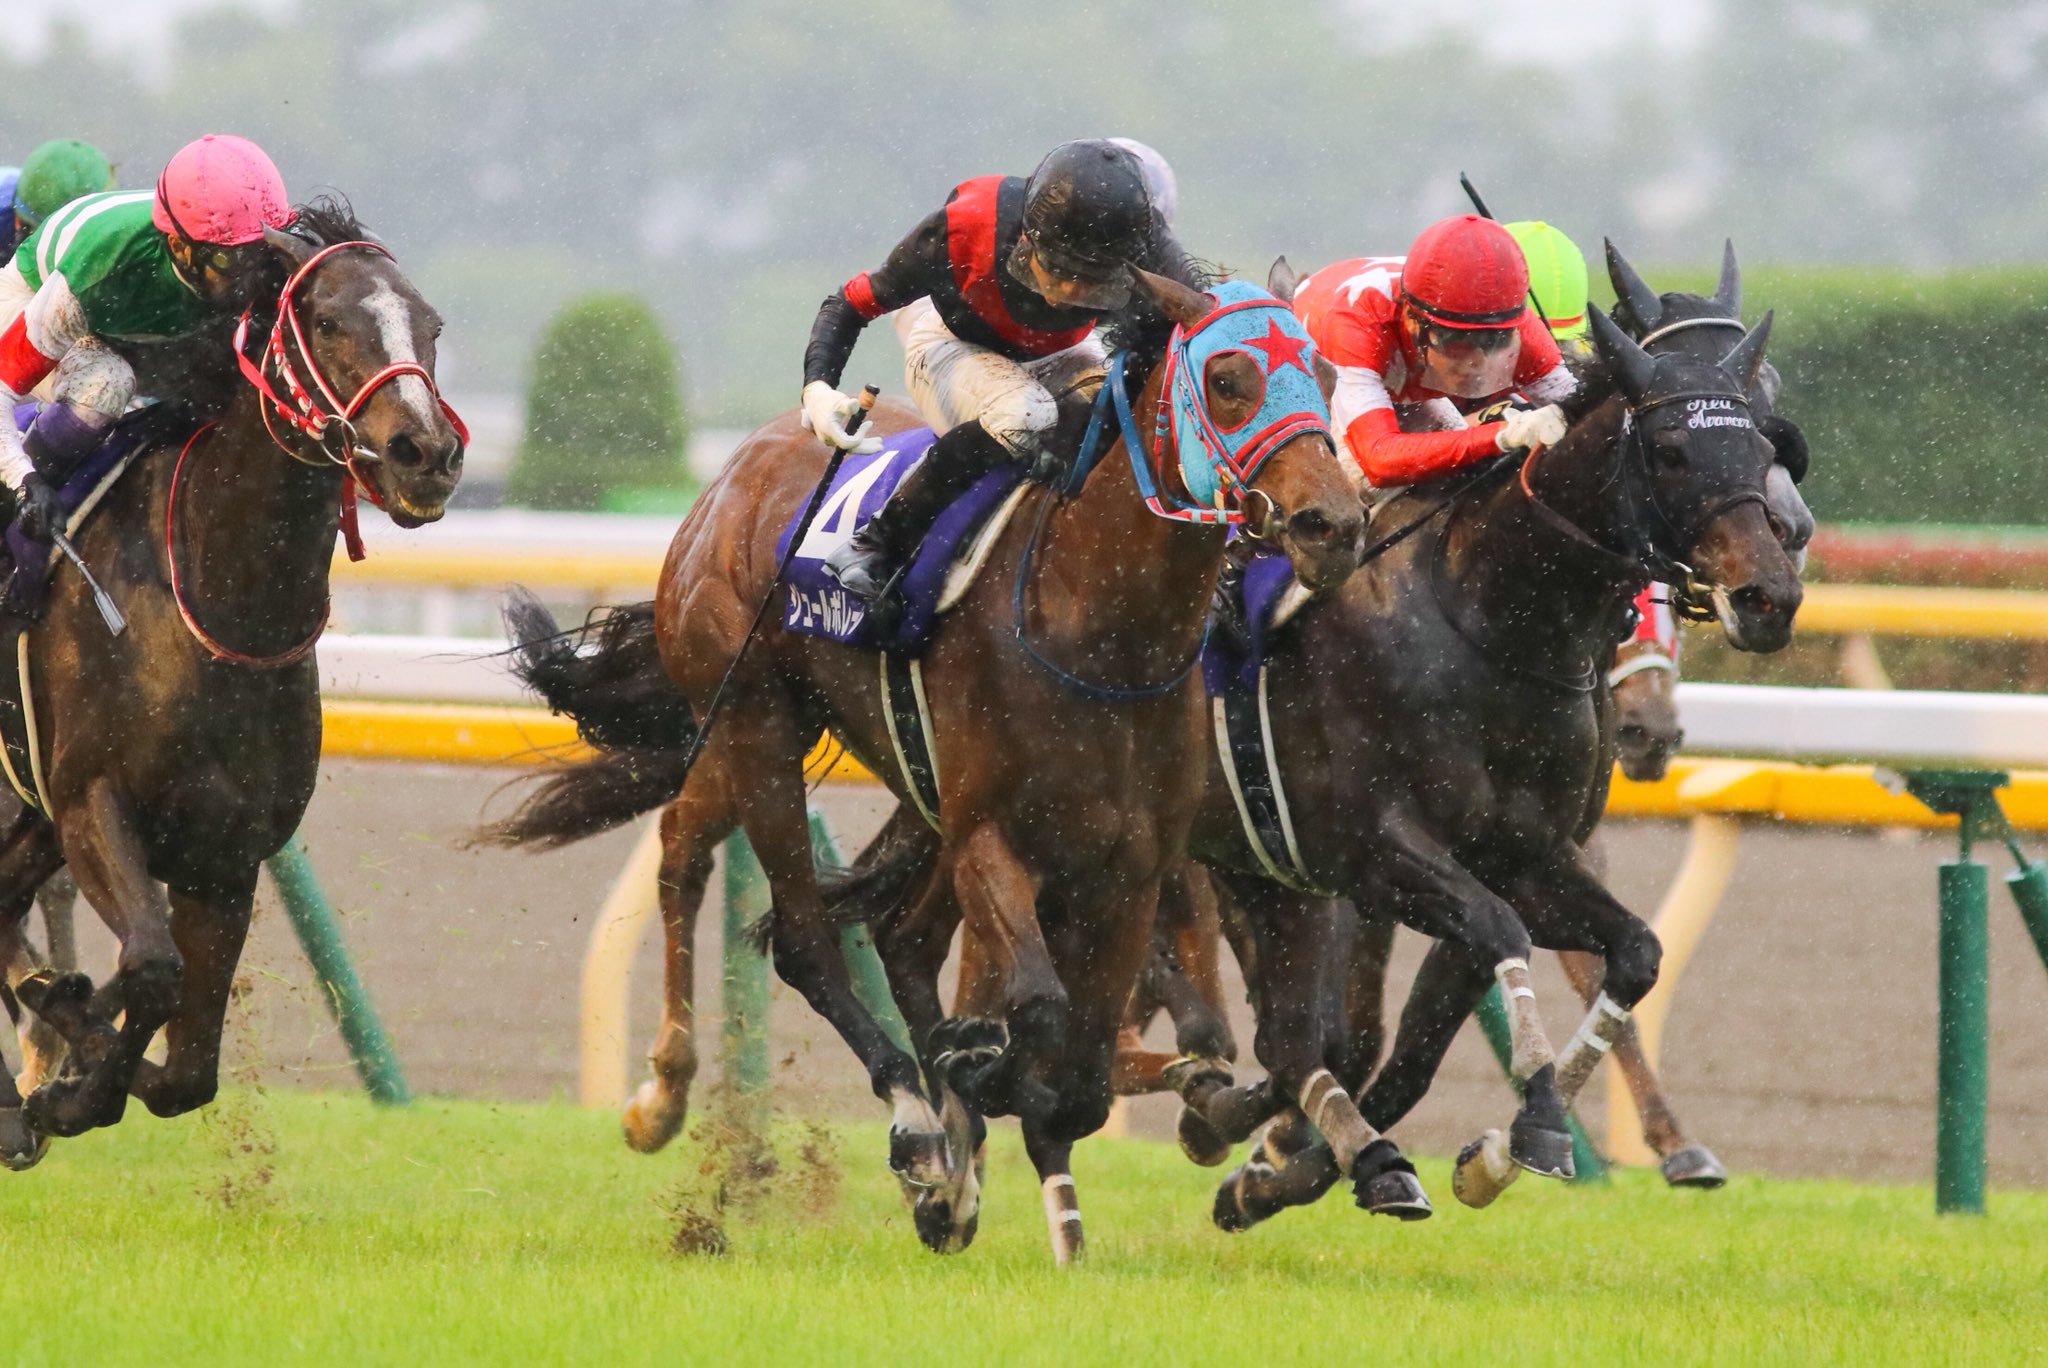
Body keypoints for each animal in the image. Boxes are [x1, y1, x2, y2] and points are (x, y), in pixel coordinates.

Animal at [0, 199, 464, 1169]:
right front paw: (69, 1056)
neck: (215, 604)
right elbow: (150, 967)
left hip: (30, 819)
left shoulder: (227, 854)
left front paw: (68, 1073)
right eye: (325, 321)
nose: (425, 453)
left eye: (432, 326)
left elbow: (187, 1071)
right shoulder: (92, 803)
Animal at [485, 268, 1364, 1261]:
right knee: (803, 936)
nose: (1332, 524)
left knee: (699, 845)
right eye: (1227, 379)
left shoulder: (1134, 865)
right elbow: (1039, 1009)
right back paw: (869, 1117)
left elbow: (1098, 1061)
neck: (1097, 620)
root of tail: (733, 473)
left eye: (1325, 376)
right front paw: (980, 1085)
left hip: (801, 749)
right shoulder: (990, 833)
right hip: (757, 726)